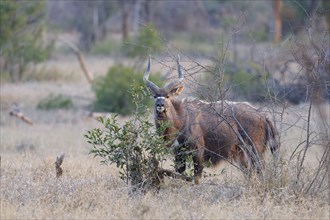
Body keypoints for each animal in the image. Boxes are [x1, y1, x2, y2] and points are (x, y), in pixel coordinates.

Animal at [144, 55, 278, 184]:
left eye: (167, 96)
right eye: (155, 96)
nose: (160, 105)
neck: (182, 119)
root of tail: (262, 116)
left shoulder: (198, 151)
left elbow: (196, 178)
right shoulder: (179, 153)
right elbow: (179, 173)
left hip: (254, 149)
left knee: (260, 169)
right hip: (242, 153)